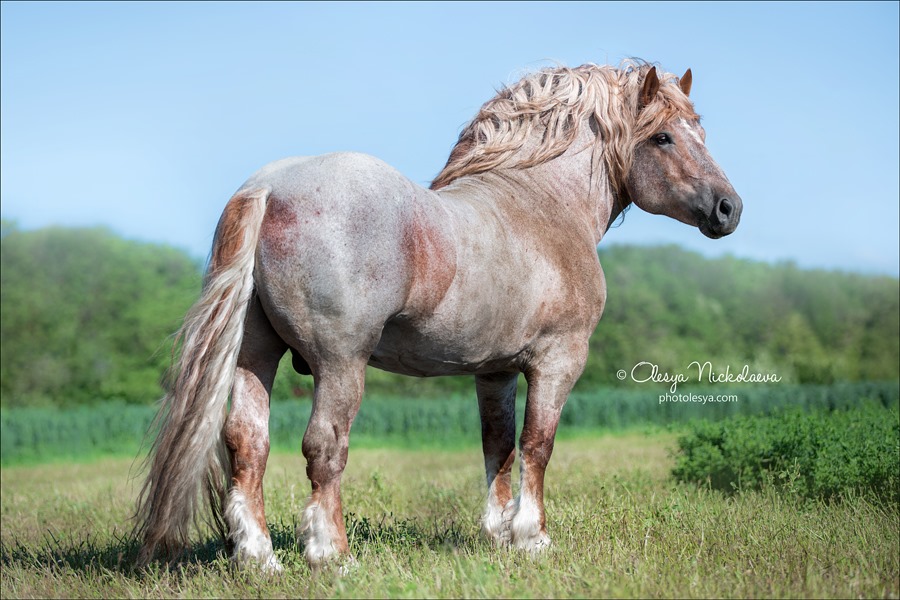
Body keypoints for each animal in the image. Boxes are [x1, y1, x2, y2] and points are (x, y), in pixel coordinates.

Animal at [132, 61, 740, 572]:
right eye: (662, 136)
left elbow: (499, 444)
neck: (542, 203)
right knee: (324, 447)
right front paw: (533, 537)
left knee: (246, 445)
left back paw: (260, 559)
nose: (728, 208)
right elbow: (538, 445)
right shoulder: (558, 360)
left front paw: (498, 534)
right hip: (340, 364)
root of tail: (267, 187)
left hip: (255, 356)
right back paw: (333, 555)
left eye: (700, 131)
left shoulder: (495, 369)